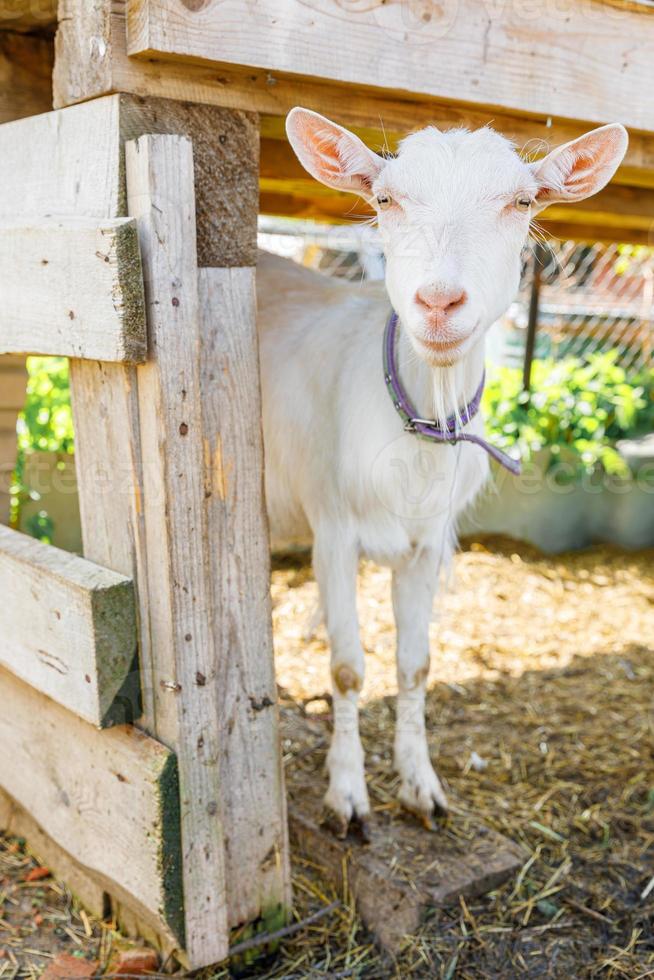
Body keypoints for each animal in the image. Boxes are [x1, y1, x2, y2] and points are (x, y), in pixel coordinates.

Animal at [255, 111, 624, 840]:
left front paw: (420, 787)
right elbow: (348, 668)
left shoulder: (427, 543)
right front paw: (347, 796)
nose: (438, 302)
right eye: (384, 198)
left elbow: (415, 664)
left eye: (522, 201)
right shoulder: (332, 527)